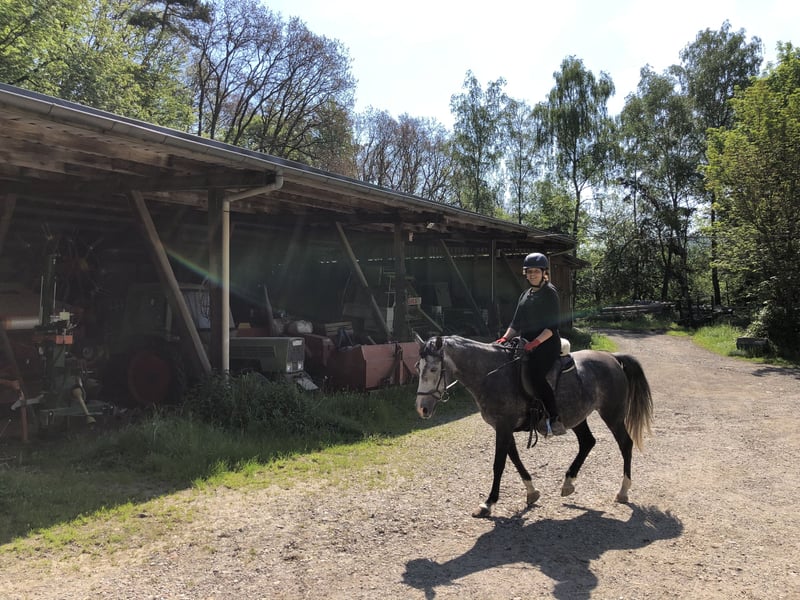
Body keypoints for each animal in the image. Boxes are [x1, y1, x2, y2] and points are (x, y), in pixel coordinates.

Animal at [414, 334, 653, 518]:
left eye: (434, 369)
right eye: (418, 367)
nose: (422, 409)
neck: (492, 374)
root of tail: (612, 358)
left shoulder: (503, 427)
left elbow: (499, 464)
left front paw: (488, 503)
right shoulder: (503, 427)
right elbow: (515, 459)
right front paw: (531, 492)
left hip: (612, 415)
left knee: (625, 444)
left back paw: (623, 491)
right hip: (577, 416)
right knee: (588, 442)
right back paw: (568, 483)